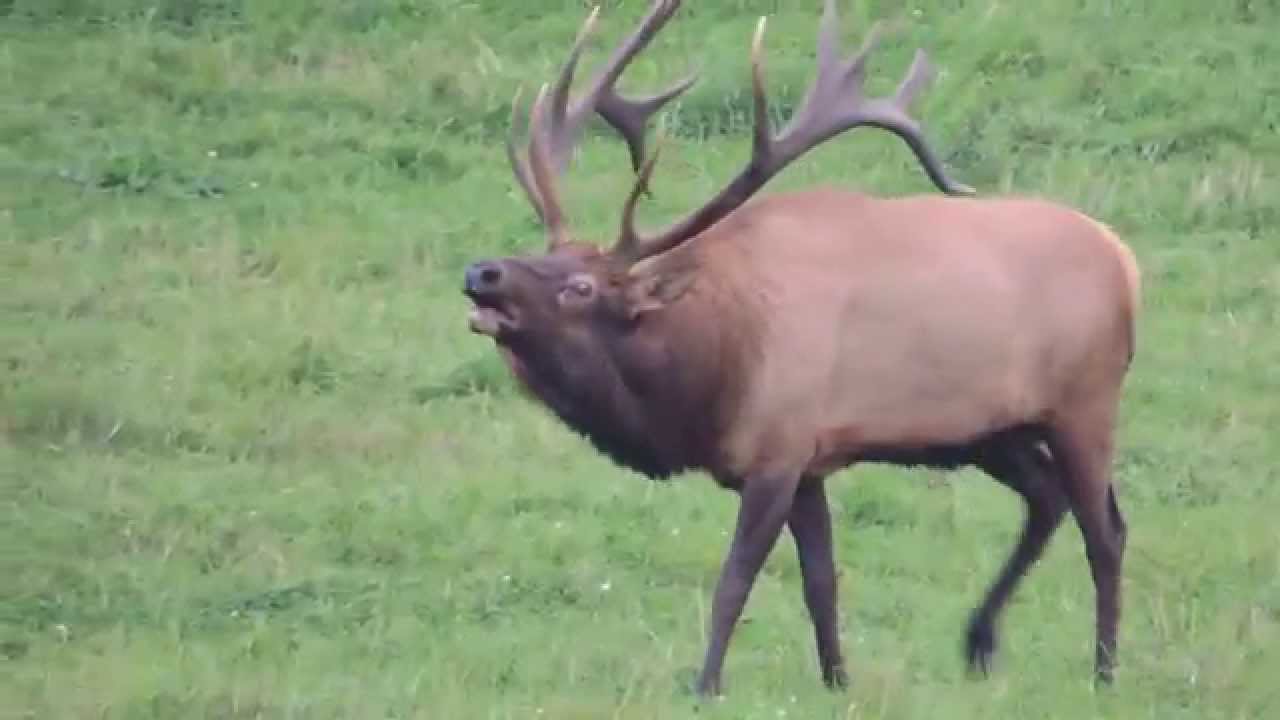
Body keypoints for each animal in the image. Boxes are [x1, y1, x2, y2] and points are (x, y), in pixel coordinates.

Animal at [461, 0, 1140, 697]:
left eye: (581, 287)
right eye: (545, 254)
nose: (483, 272)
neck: (712, 372)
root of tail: (1125, 261)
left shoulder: (777, 453)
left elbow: (734, 583)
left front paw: (705, 687)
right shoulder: (810, 461)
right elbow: (821, 584)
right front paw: (837, 681)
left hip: (1084, 403)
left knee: (1105, 530)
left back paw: (1104, 671)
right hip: (989, 431)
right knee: (1047, 498)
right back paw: (978, 640)